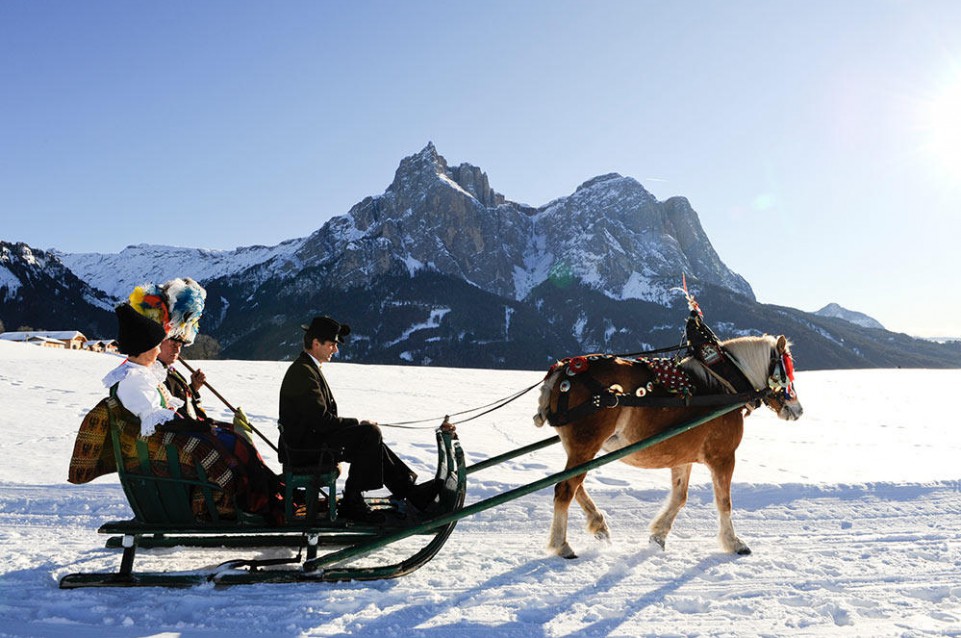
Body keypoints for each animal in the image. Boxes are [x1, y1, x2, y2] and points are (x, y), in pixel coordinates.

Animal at [532, 336, 804, 560]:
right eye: (786, 373)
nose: (798, 410)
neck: (724, 385)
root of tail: (562, 371)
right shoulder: (723, 457)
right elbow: (724, 502)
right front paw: (734, 542)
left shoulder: (681, 457)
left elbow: (680, 498)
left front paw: (658, 536)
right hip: (586, 445)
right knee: (565, 488)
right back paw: (562, 544)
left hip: (581, 449)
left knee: (574, 485)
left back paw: (598, 525)